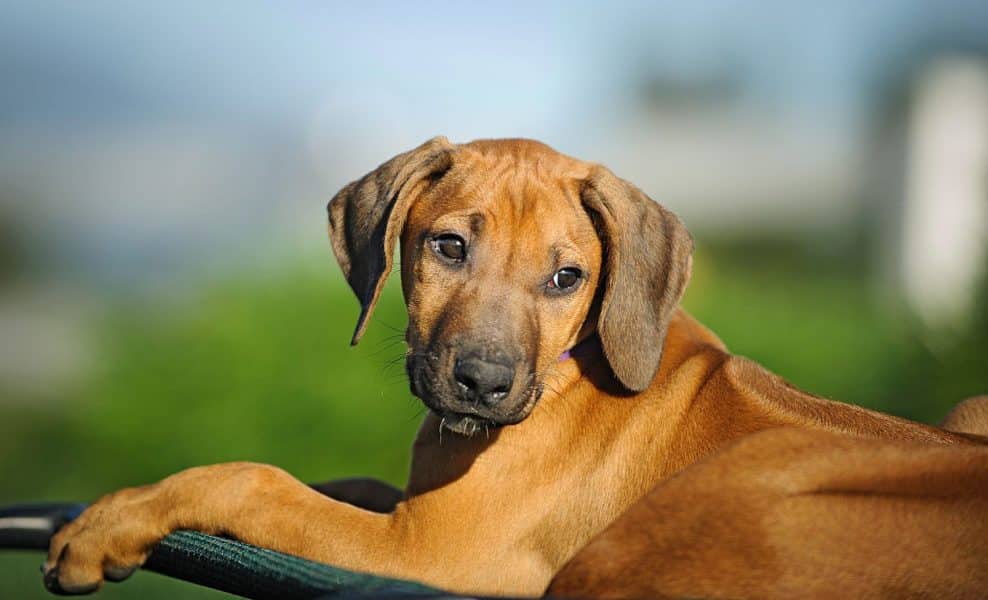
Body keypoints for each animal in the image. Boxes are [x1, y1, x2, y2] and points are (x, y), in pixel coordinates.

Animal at [44, 138, 988, 596]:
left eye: (567, 277)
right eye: (447, 247)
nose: (483, 385)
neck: (572, 367)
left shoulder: (431, 551)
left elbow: (258, 482)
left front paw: (114, 519)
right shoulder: (419, 508)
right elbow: (343, 482)